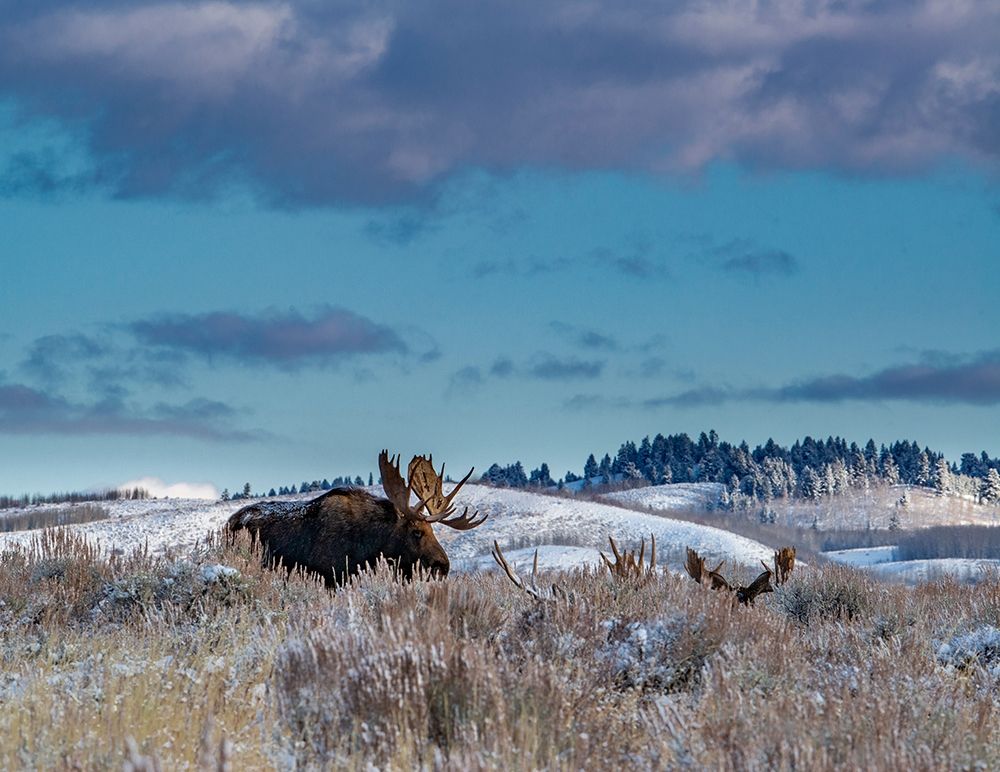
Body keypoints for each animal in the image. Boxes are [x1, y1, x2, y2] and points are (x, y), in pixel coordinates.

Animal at [226, 450, 486, 586]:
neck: (369, 546)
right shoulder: (331, 576)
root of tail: (230, 521)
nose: (443, 566)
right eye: (417, 532)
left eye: (433, 531)